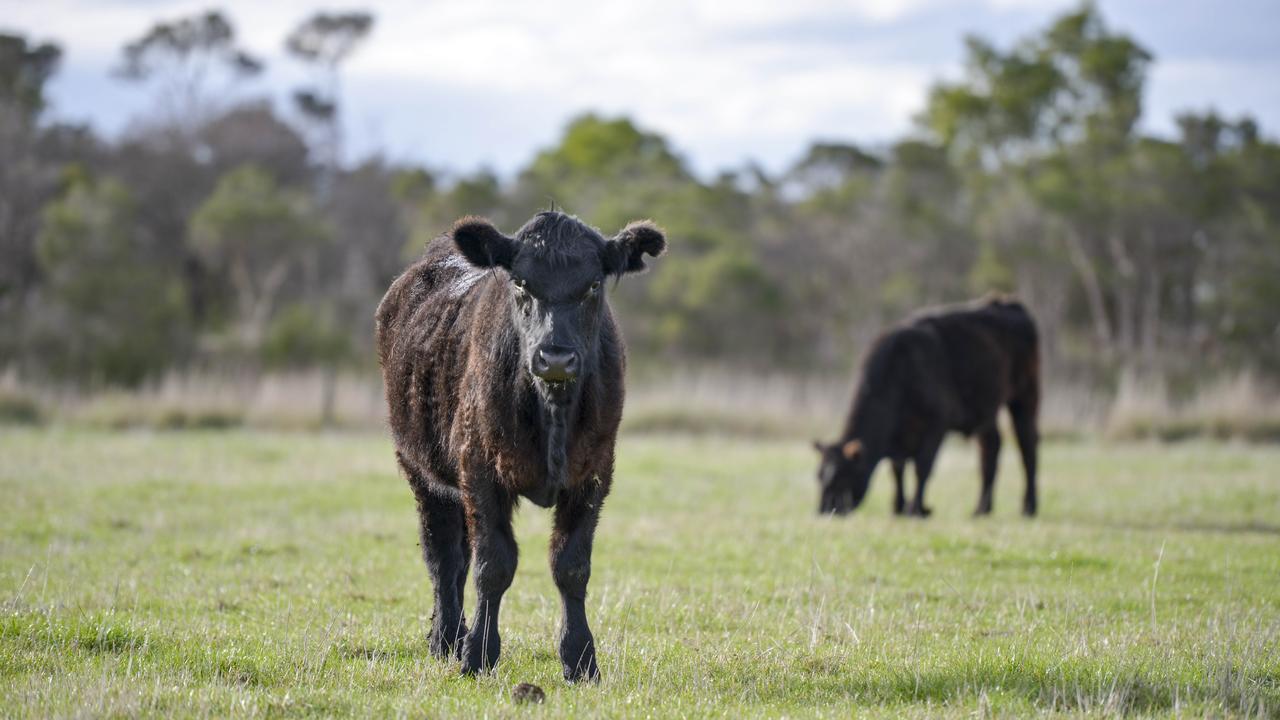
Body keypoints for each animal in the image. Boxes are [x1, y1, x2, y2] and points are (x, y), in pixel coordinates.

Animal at [373, 208, 665, 676]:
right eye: (522, 283)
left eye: (593, 285)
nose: (556, 356)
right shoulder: (480, 470)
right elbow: (493, 564)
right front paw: (478, 654)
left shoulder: (594, 474)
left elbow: (571, 565)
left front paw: (580, 658)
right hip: (420, 469)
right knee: (444, 557)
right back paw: (446, 638)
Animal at [814, 295, 1044, 515]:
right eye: (819, 475)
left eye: (842, 476)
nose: (824, 510)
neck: (900, 370)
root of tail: (1008, 304)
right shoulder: (900, 439)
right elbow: (897, 469)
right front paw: (899, 506)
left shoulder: (936, 426)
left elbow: (922, 467)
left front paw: (917, 508)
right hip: (987, 410)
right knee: (990, 449)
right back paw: (981, 509)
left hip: (1025, 397)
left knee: (1027, 446)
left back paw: (1029, 507)